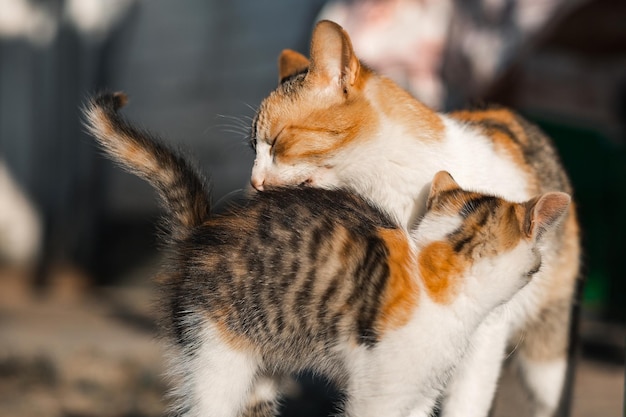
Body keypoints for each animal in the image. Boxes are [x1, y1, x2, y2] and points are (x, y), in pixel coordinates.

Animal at [80, 93, 568, 416]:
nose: (543, 268)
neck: (436, 269)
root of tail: (204, 229)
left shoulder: (420, 393)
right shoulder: (379, 395)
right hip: (215, 348)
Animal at [249, 20, 580, 416]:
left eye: (277, 141)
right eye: (251, 148)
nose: (253, 181)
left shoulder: (484, 333)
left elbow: (465, 400)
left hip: (545, 349)